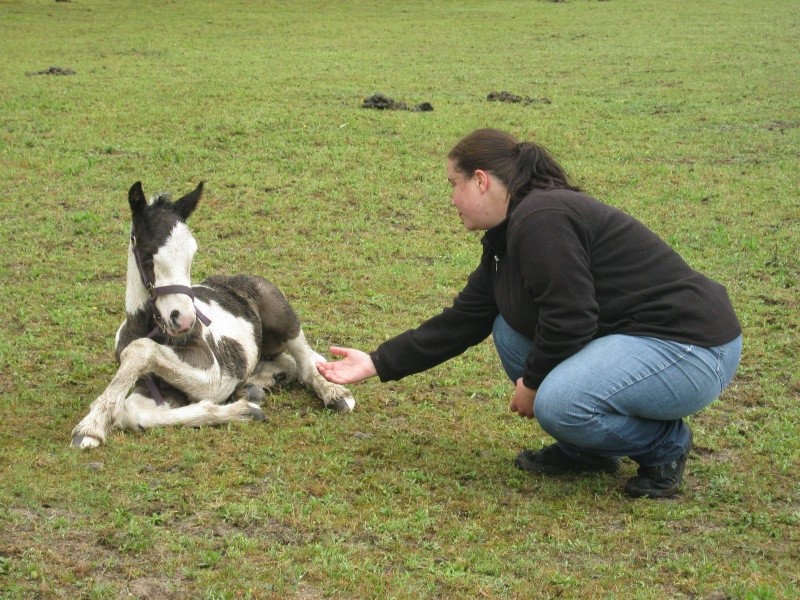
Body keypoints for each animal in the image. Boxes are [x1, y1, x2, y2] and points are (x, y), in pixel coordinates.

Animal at [71, 180, 354, 448]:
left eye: (192, 253)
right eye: (148, 255)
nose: (184, 319)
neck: (147, 327)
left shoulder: (213, 375)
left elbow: (141, 349)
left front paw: (90, 425)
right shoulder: (156, 390)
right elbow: (130, 410)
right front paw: (244, 410)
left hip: (283, 316)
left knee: (307, 363)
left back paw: (335, 394)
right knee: (285, 363)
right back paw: (255, 386)